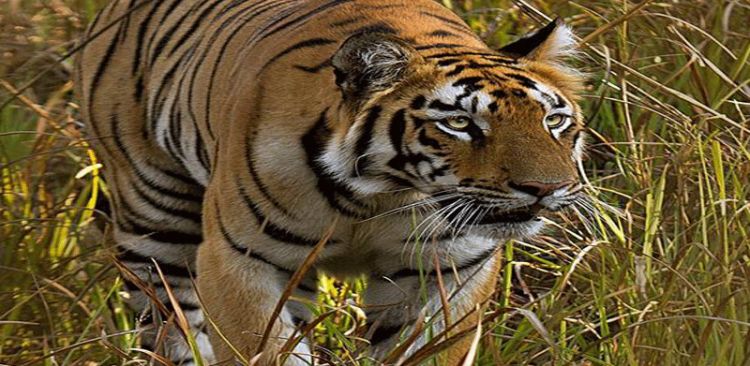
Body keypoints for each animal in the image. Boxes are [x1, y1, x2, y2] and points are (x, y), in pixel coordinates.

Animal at [76, 0, 592, 364]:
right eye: (460, 124)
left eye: (553, 120)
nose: (546, 188)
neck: (383, 194)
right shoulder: (242, 260)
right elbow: (263, 349)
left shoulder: (447, 270)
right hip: (155, 222)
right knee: (172, 324)